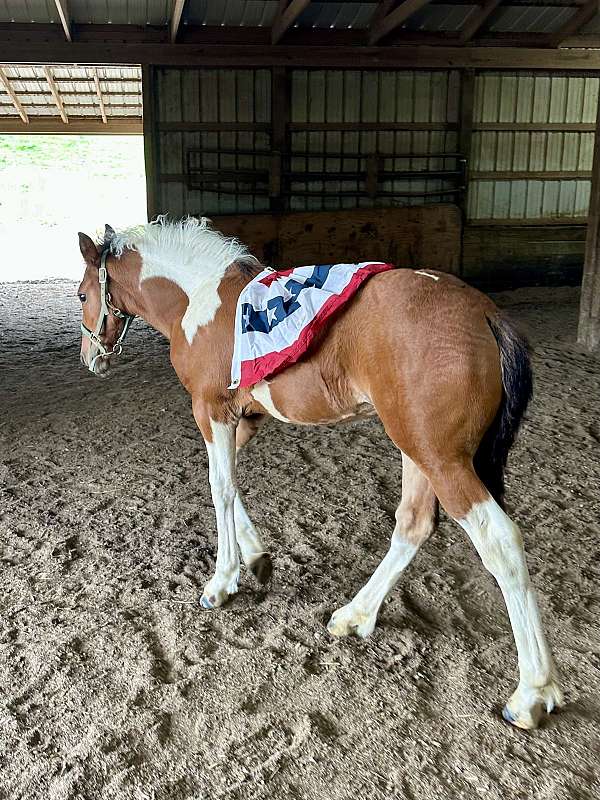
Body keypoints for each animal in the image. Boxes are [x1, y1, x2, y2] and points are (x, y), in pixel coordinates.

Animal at [76, 216, 563, 730]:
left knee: (500, 542)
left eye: (83, 294)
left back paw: (533, 692)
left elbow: (220, 488)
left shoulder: (211, 411)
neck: (200, 297)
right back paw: (355, 616)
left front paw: (222, 582)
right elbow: (231, 484)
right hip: (418, 451)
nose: (92, 358)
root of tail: (484, 314)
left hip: (441, 459)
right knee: (412, 526)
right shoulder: (244, 418)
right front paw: (256, 557)